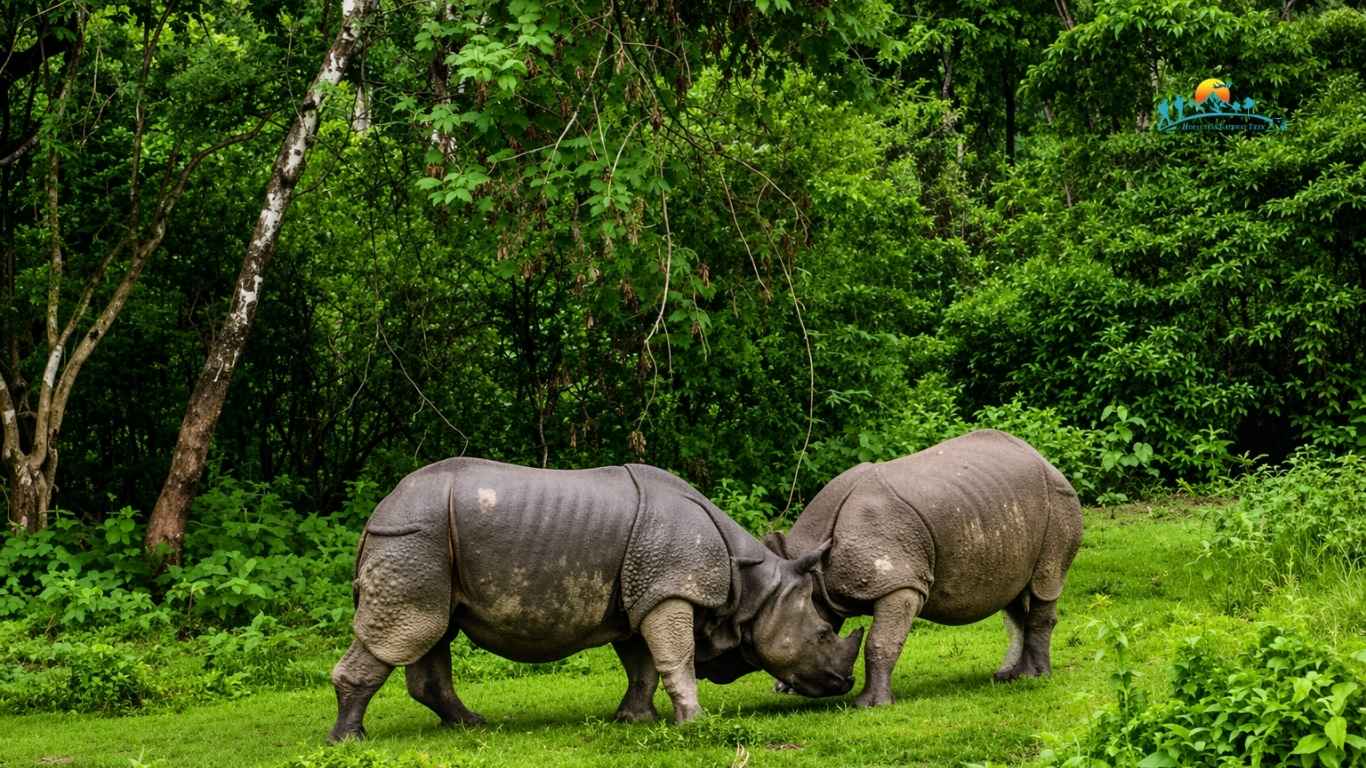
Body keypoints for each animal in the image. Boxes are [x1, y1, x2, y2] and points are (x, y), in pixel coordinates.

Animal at [328, 458, 863, 742]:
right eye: (822, 634)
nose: (843, 684)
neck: (754, 588)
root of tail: (376, 513)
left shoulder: (643, 594)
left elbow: (644, 665)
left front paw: (636, 719)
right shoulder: (669, 590)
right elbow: (677, 658)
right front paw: (693, 723)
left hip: (424, 542)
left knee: (431, 629)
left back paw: (473, 726)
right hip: (413, 537)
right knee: (409, 629)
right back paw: (350, 739)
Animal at [761, 430, 1083, 707]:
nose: (843, 683)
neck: (814, 555)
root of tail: (1042, 458)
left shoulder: (900, 583)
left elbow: (881, 641)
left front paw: (870, 705)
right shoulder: (827, 588)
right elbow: (825, 622)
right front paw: (785, 689)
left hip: (1059, 500)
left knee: (1045, 583)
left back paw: (1033, 676)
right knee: (1013, 593)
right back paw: (1008, 676)